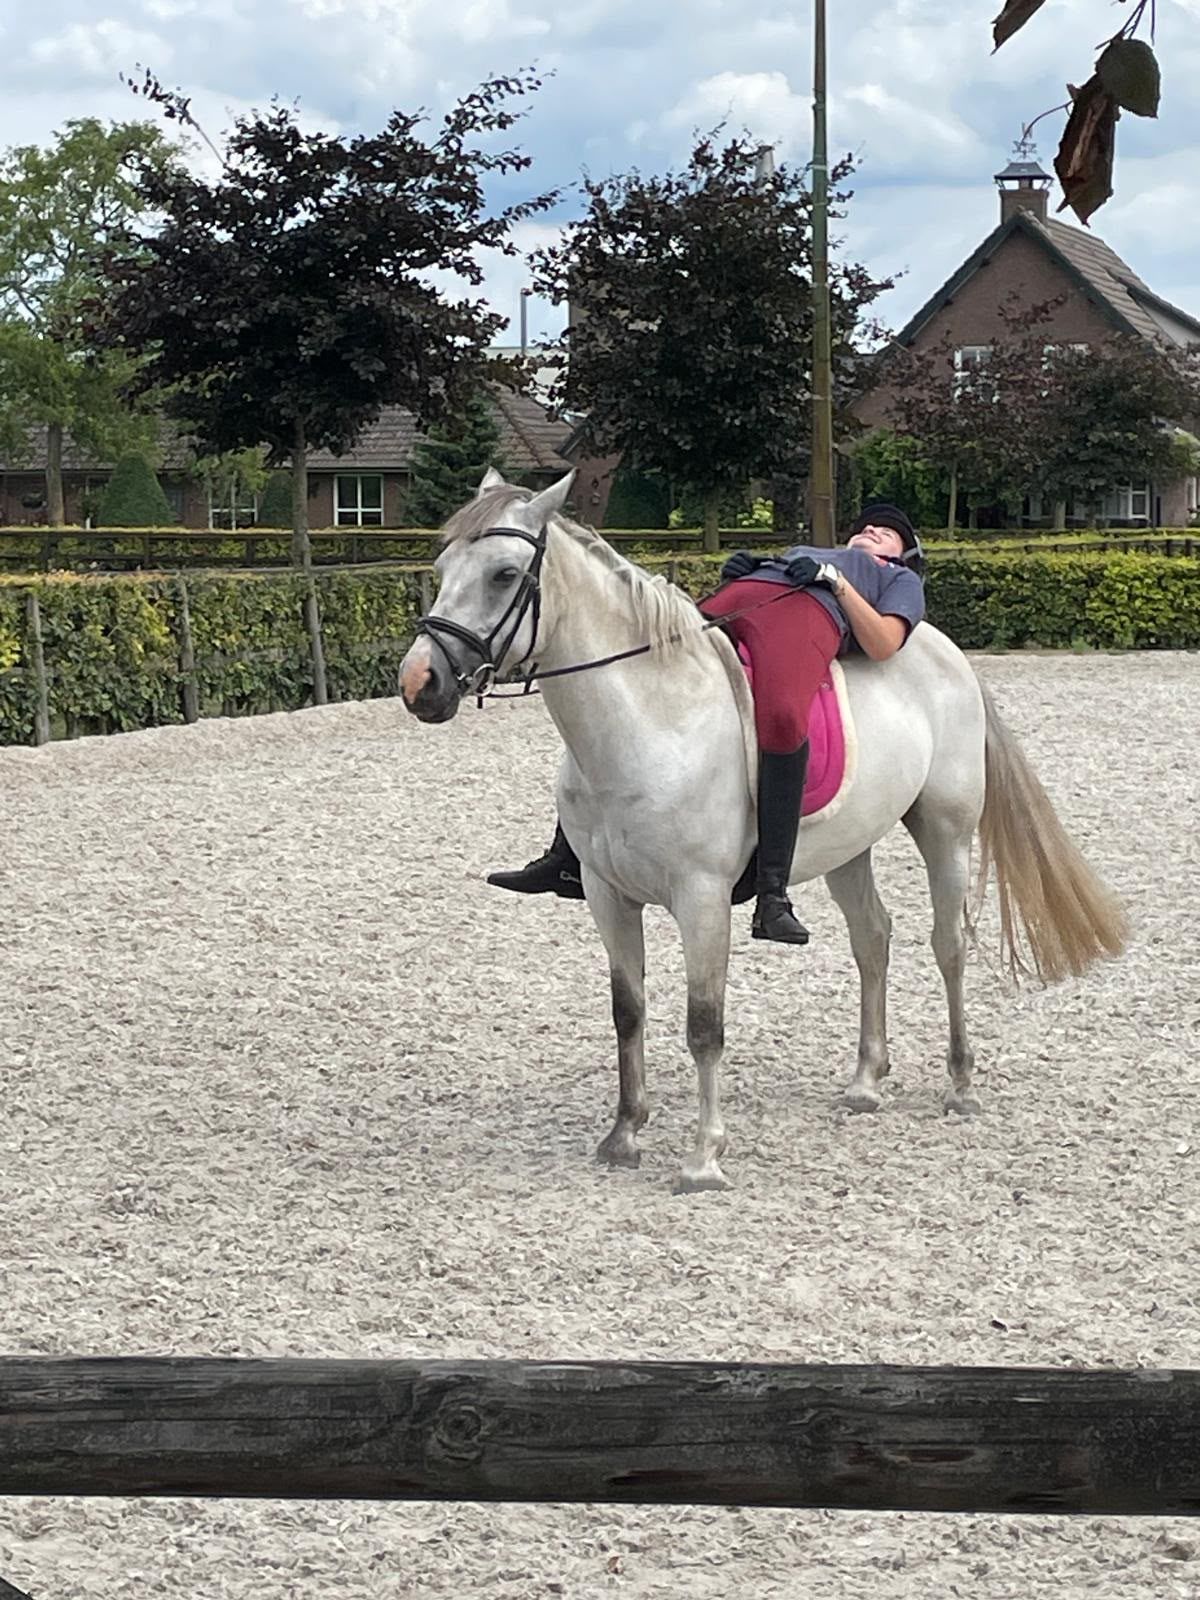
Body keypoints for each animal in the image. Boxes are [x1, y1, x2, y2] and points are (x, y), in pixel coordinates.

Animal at [398, 469, 1128, 1193]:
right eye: (440, 569)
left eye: (503, 574)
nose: (417, 682)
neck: (653, 722)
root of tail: (948, 654)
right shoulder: (608, 896)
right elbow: (628, 1011)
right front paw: (624, 1133)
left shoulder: (702, 899)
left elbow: (703, 1025)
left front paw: (703, 1158)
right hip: (848, 846)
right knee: (873, 938)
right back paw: (866, 1082)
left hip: (944, 831)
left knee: (948, 945)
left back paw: (960, 1085)